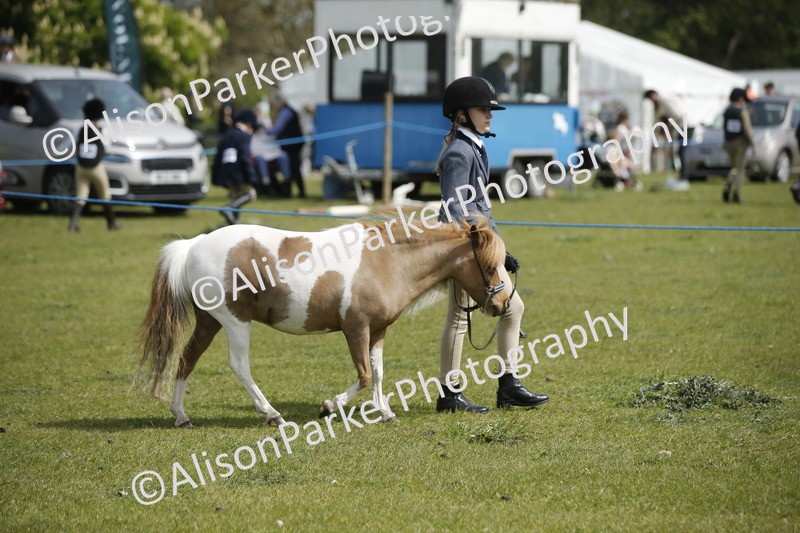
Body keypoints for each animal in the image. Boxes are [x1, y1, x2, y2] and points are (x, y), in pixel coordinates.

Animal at [136, 217, 510, 428]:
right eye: (490, 265)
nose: (503, 304)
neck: (385, 261)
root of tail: (194, 244)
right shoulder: (356, 328)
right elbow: (364, 375)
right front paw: (329, 406)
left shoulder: (378, 330)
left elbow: (378, 373)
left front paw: (384, 412)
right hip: (234, 322)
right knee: (239, 365)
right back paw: (272, 414)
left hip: (209, 322)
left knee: (187, 359)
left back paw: (181, 415)